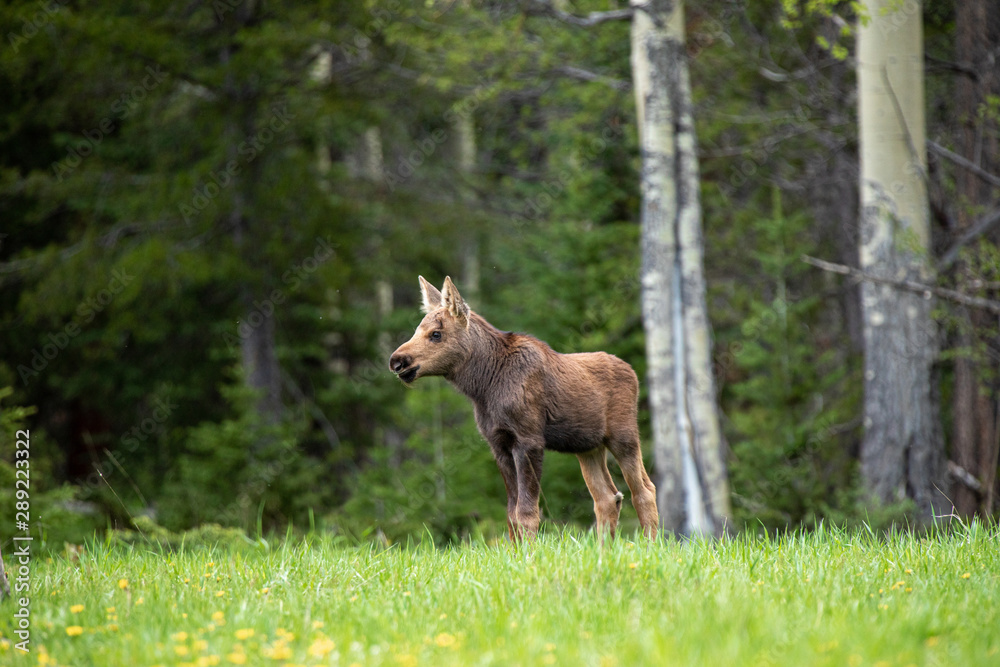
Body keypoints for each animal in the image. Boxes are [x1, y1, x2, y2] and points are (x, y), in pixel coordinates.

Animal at [386, 276, 660, 544]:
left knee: (645, 490)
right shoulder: (498, 444)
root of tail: (633, 373)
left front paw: (529, 552)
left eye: (436, 334)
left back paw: (649, 546)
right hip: (587, 446)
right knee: (607, 497)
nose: (396, 361)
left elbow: (527, 512)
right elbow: (511, 515)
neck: (483, 388)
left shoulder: (528, 440)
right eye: (417, 329)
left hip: (624, 436)